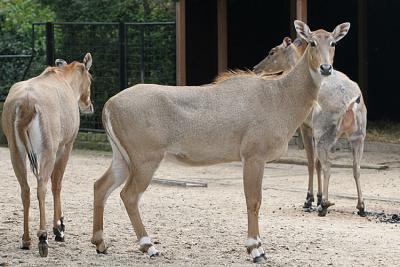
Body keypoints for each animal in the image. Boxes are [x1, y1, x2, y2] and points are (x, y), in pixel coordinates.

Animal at [1, 54, 94, 258]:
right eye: (90, 78)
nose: (89, 105)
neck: (63, 78)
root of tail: (26, 103)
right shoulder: (65, 146)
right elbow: (57, 184)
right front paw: (59, 228)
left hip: (15, 152)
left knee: (25, 189)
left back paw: (26, 239)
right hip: (47, 152)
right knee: (42, 186)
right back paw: (42, 238)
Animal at [92, 21, 348, 264]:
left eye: (333, 43)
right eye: (312, 42)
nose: (326, 68)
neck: (279, 96)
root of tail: (109, 105)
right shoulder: (254, 157)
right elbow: (253, 200)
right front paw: (256, 249)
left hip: (122, 158)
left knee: (100, 186)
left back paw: (100, 243)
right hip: (146, 159)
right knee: (129, 195)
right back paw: (149, 246)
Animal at [255, 35, 368, 217]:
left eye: (272, 51)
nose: (256, 68)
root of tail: (351, 102)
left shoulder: (305, 126)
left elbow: (311, 162)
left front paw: (309, 200)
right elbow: (317, 163)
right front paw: (317, 197)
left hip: (325, 133)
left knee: (328, 164)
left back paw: (325, 205)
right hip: (358, 135)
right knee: (356, 167)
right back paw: (361, 206)